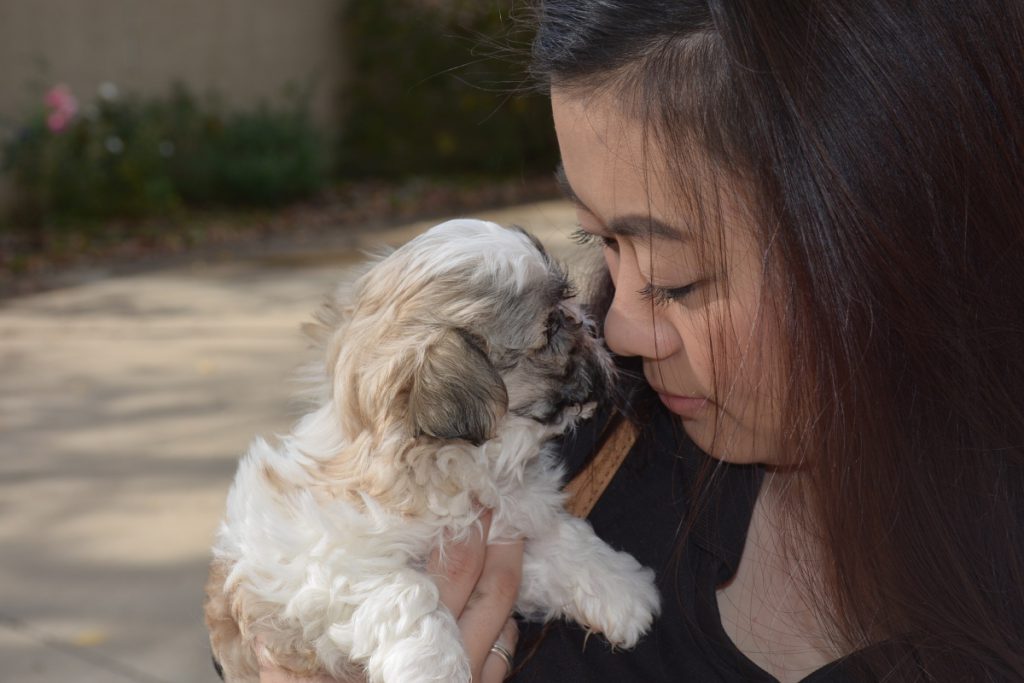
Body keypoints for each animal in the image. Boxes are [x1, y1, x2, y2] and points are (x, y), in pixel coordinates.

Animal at [203, 219, 659, 683]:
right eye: (550, 329)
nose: (589, 324)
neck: (447, 468)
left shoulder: (506, 520)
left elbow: (560, 539)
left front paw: (620, 588)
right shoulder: (323, 564)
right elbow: (406, 590)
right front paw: (434, 665)